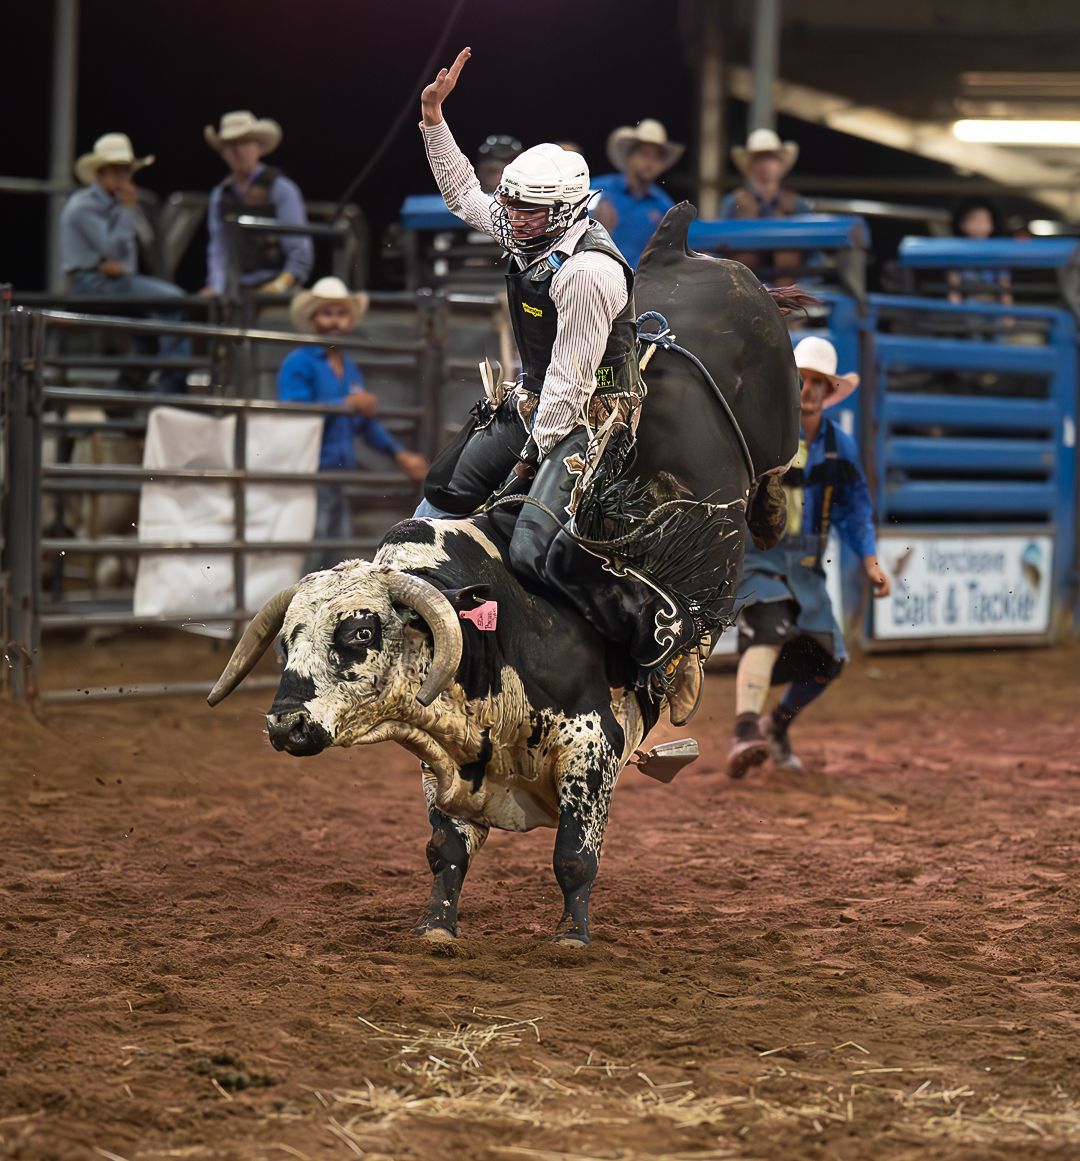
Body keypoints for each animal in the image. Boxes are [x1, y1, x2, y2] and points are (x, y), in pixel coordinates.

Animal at [208, 203, 801, 946]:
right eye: (287, 640)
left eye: (360, 633)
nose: (285, 724)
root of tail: (679, 252)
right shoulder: (450, 769)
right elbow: (446, 849)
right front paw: (437, 926)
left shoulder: (591, 748)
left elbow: (574, 855)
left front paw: (572, 935)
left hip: (776, 417)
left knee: (778, 466)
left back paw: (757, 536)